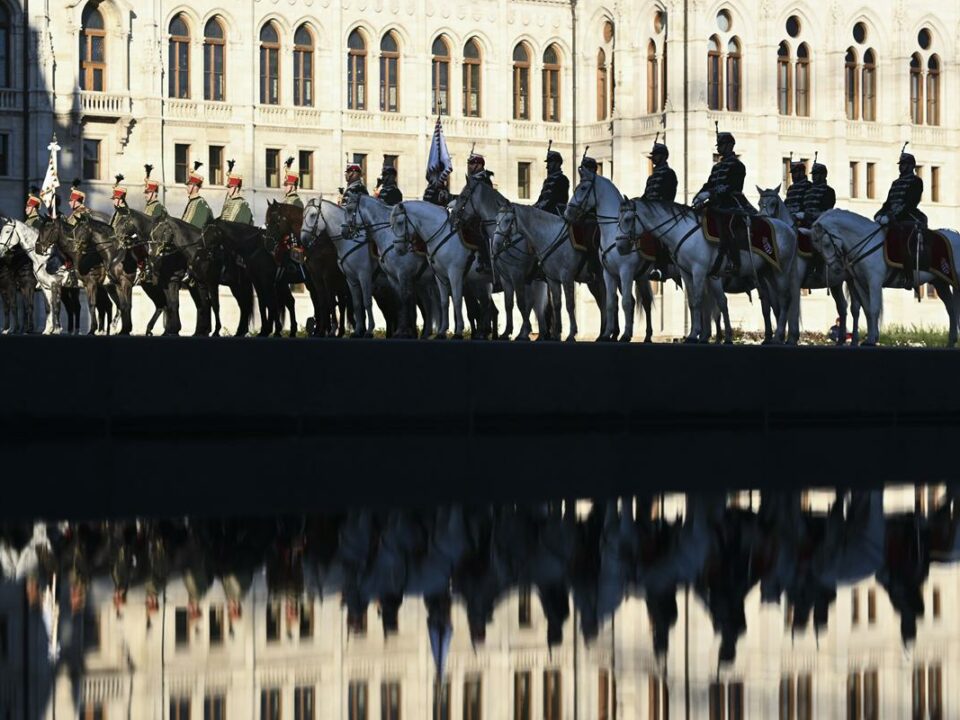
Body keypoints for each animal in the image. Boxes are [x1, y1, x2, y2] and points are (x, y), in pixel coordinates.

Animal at [302, 198, 376, 338]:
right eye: (303, 215)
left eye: (313, 215)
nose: (303, 239)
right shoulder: (319, 279)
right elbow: (324, 302)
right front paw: (322, 330)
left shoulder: (359, 275)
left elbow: (334, 302)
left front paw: (332, 329)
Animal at [616, 197, 804, 344]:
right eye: (618, 219)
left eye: (628, 219)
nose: (620, 247)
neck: (682, 231)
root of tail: (789, 230)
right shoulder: (688, 274)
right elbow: (695, 303)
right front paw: (699, 334)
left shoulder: (699, 271)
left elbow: (700, 301)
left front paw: (695, 335)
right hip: (767, 273)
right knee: (774, 302)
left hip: (780, 271)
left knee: (785, 299)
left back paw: (779, 336)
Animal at [808, 208, 960, 346]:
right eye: (815, 246)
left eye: (826, 244)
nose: (836, 268)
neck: (866, 242)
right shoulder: (859, 283)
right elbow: (867, 310)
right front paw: (871, 337)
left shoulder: (874, 282)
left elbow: (874, 308)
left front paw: (871, 340)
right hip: (940, 283)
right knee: (951, 308)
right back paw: (951, 341)